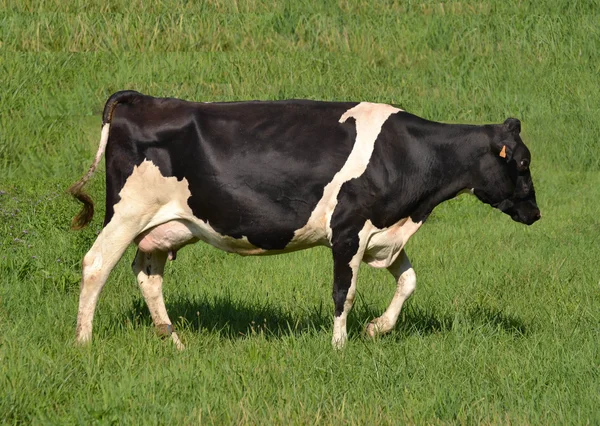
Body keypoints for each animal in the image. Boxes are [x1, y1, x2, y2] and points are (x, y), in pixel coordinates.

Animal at [68, 91, 540, 348]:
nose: (535, 213)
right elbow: (343, 294)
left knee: (147, 276)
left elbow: (408, 281)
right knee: (96, 264)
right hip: (126, 213)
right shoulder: (348, 230)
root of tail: (142, 99)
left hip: (163, 228)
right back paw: (84, 341)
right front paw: (340, 345)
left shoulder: (383, 234)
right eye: (521, 162)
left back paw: (175, 341)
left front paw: (377, 329)